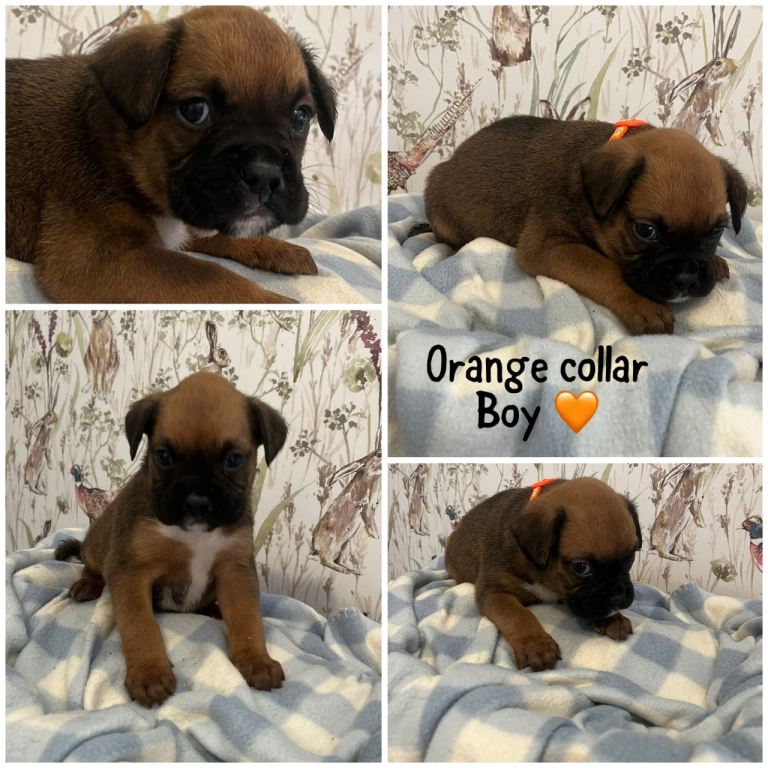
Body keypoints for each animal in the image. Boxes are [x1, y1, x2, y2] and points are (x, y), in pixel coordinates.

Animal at [7, 6, 337, 303]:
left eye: (300, 116)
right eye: (195, 110)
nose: (265, 172)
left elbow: (214, 235)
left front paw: (274, 248)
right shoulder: (98, 261)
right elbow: (211, 277)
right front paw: (275, 302)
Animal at [55, 371, 287, 706]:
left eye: (233, 460)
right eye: (164, 456)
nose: (196, 501)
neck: (197, 535)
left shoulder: (236, 572)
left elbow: (248, 620)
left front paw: (257, 659)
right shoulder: (131, 572)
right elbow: (140, 624)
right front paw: (149, 672)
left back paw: (212, 608)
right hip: (99, 541)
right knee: (90, 563)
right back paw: (88, 583)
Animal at [424, 116, 748, 334]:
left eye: (716, 231)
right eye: (645, 231)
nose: (686, 277)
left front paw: (716, 261)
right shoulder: (548, 245)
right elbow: (604, 268)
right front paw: (640, 304)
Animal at [445, 477, 642, 672]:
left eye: (631, 557)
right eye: (581, 567)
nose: (618, 596)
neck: (545, 575)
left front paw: (611, 618)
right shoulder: (494, 591)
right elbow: (517, 614)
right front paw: (536, 644)